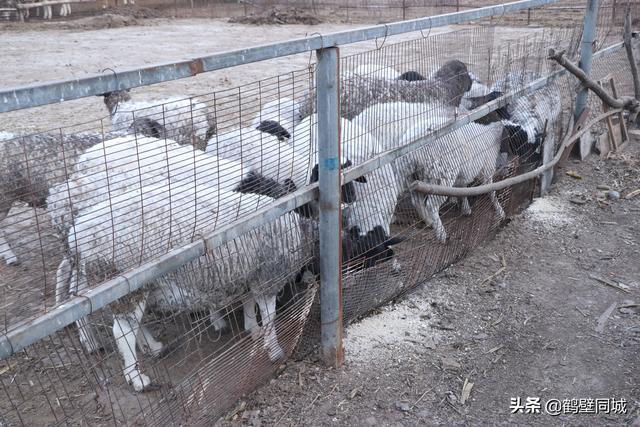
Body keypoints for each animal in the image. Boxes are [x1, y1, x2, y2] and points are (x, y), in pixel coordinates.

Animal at [65, 184, 308, 392]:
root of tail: (77, 233)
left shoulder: (249, 274)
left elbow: (249, 302)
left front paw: (252, 329)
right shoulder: (269, 274)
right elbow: (269, 316)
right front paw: (274, 349)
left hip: (131, 289)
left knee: (132, 324)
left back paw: (152, 346)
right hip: (126, 284)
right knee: (122, 331)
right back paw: (137, 378)